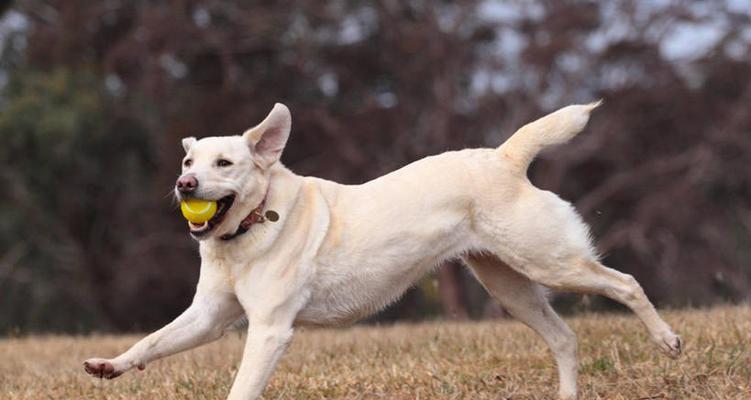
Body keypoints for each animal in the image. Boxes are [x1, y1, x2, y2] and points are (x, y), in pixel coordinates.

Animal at [82, 103, 680, 400]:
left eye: (224, 164)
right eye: (189, 163)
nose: (184, 186)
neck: (251, 227)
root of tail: (504, 158)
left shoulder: (269, 330)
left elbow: (241, 388)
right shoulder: (208, 319)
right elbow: (151, 342)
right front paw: (110, 366)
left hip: (550, 264)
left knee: (626, 284)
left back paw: (667, 340)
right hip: (511, 288)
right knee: (565, 338)